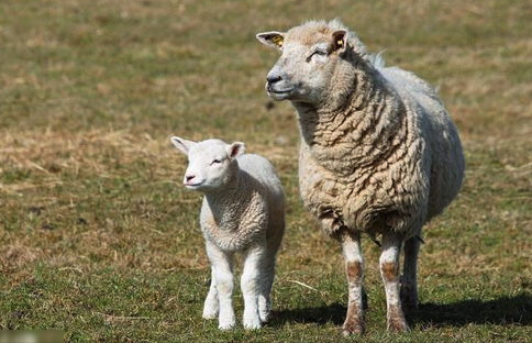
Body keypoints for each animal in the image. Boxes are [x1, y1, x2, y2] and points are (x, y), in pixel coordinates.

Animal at [170, 136, 286, 330]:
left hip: (273, 237)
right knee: (216, 276)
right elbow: (224, 282)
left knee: (267, 271)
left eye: (217, 161)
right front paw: (226, 321)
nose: (189, 177)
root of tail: (252, 154)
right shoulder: (215, 246)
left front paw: (252, 320)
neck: (229, 220)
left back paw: (263, 310)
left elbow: (250, 281)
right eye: (189, 160)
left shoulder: (256, 243)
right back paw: (210, 308)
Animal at [256, 20, 464, 334]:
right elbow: (353, 268)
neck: (349, 160)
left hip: (417, 207)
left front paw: (397, 322)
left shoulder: (397, 212)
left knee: (413, 246)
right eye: (283, 50)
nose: (272, 79)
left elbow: (389, 268)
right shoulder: (337, 214)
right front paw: (353, 322)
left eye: (319, 52)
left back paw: (408, 294)